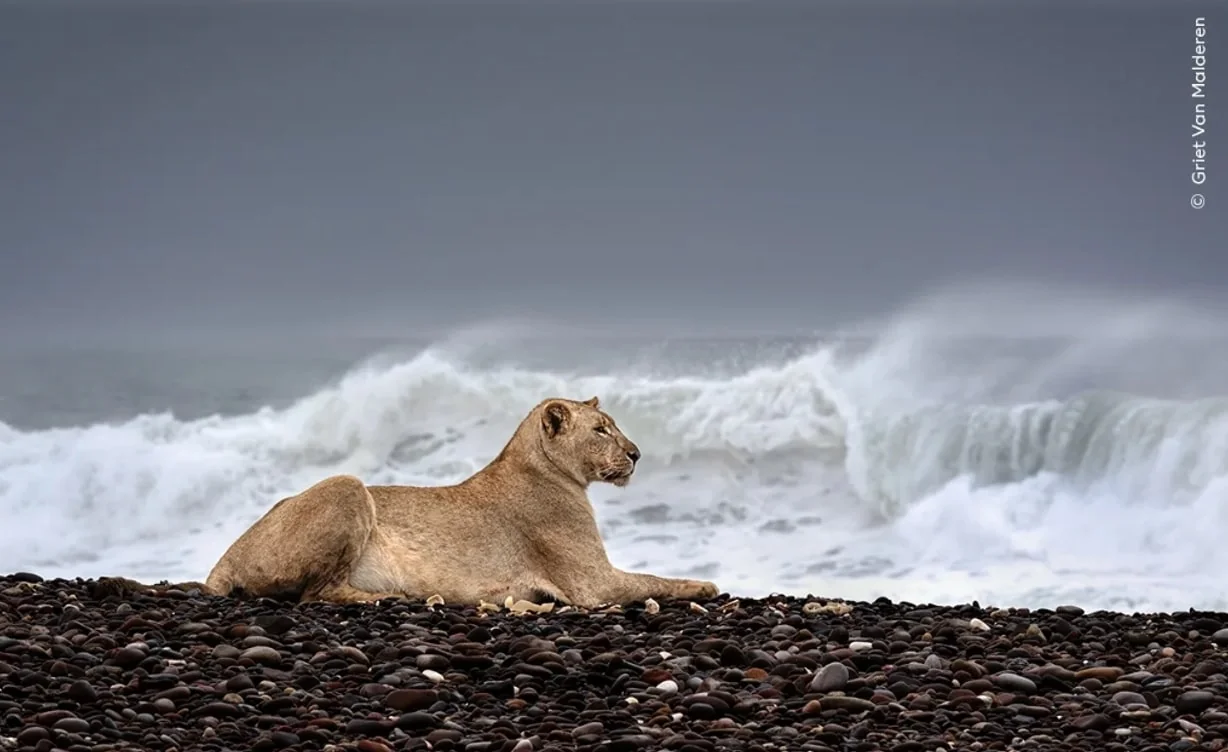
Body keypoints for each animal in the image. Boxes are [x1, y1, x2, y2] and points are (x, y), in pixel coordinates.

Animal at [110, 396, 718, 608]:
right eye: (600, 430)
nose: (637, 454)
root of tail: (225, 558)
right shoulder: (593, 584)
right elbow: (655, 580)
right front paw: (706, 585)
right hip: (347, 485)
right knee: (315, 594)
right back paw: (396, 598)